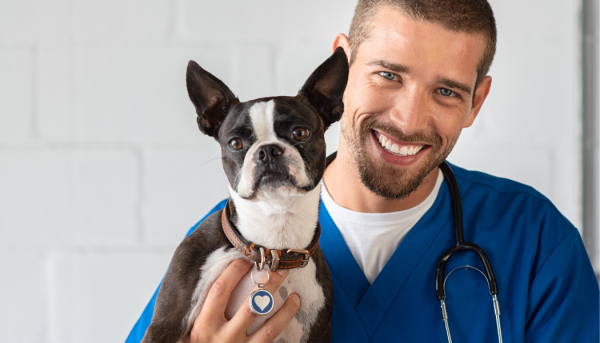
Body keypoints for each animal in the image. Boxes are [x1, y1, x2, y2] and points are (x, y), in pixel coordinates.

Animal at [142, 47, 350, 342]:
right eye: (235, 143)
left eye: (300, 132)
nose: (268, 150)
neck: (272, 241)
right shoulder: (165, 324)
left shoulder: (315, 332)